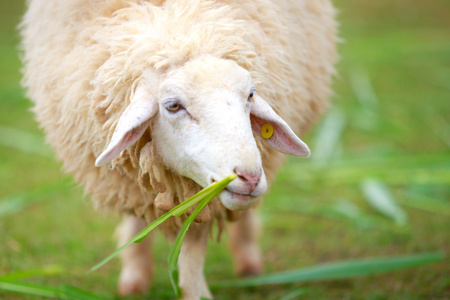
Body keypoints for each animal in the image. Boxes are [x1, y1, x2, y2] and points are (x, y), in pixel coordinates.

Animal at [21, 0, 338, 298]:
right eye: (173, 106)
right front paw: (135, 274)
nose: (249, 177)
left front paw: (195, 291)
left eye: (250, 95)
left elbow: (193, 246)